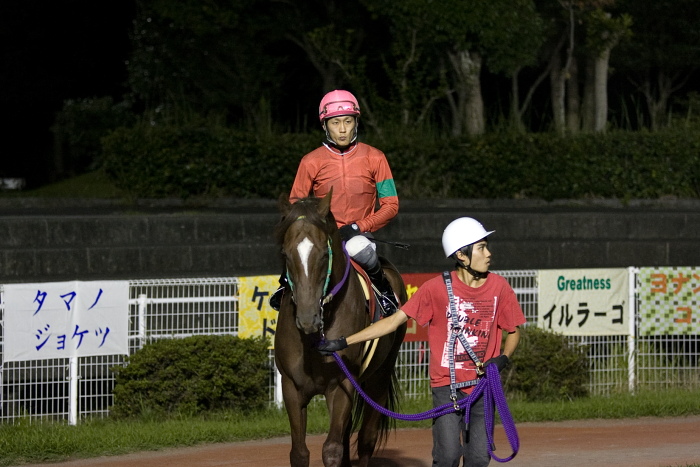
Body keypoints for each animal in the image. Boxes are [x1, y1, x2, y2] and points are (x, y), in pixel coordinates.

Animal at [272, 190, 404, 467]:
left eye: (324, 254)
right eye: (286, 254)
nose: (308, 318)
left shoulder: (341, 384)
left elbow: (332, 449)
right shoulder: (291, 387)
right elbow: (300, 452)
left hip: (380, 374)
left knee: (366, 439)